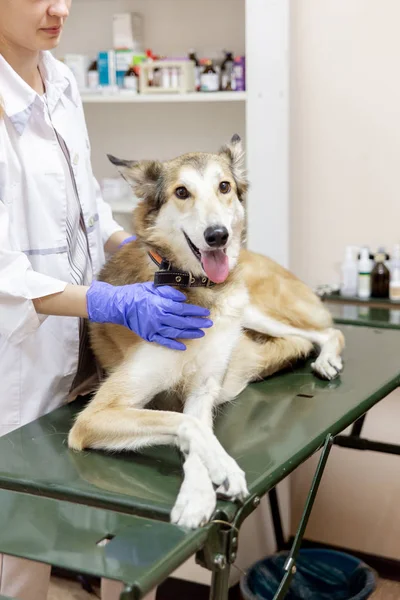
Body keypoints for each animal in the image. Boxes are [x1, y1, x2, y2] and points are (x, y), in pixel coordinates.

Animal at [68, 134, 344, 528]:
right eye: (182, 192)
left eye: (224, 186)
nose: (217, 236)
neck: (192, 285)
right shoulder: (95, 416)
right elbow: (189, 427)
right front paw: (213, 478)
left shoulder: (201, 391)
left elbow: (191, 422)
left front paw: (203, 486)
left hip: (250, 308)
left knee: (325, 333)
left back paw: (324, 360)